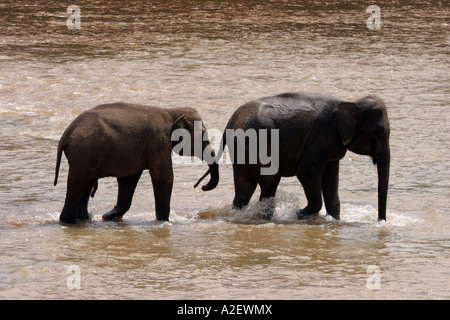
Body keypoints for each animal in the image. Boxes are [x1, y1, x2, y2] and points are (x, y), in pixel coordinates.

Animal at [53, 101, 219, 224]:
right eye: (203, 136)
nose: (202, 186)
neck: (172, 111)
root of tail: (66, 134)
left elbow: (129, 179)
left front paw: (108, 216)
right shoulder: (158, 142)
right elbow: (164, 178)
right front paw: (164, 222)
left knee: (85, 185)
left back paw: (84, 219)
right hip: (85, 152)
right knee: (78, 184)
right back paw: (69, 221)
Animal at [199, 92, 388, 221]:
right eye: (377, 133)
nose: (380, 221)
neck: (351, 101)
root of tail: (229, 123)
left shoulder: (333, 148)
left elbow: (331, 179)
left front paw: (334, 219)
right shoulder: (322, 139)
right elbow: (307, 173)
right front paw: (299, 213)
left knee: (244, 187)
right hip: (254, 144)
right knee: (270, 180)